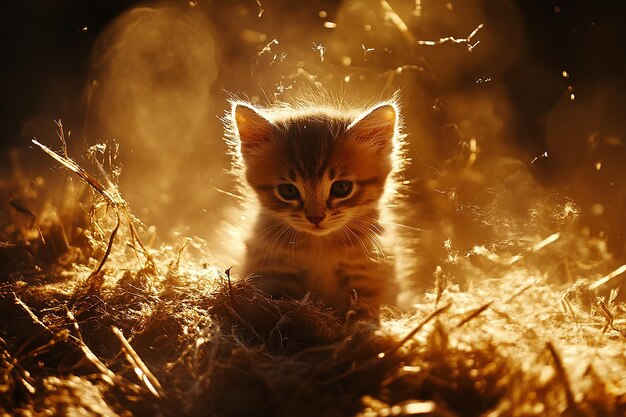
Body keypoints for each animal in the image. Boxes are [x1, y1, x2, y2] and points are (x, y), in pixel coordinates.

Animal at [227, 100, 402, 316]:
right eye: (288, 191)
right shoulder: (273, 273)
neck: (320, 245)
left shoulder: (369, 277)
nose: (316, 217)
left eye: (341, 188)